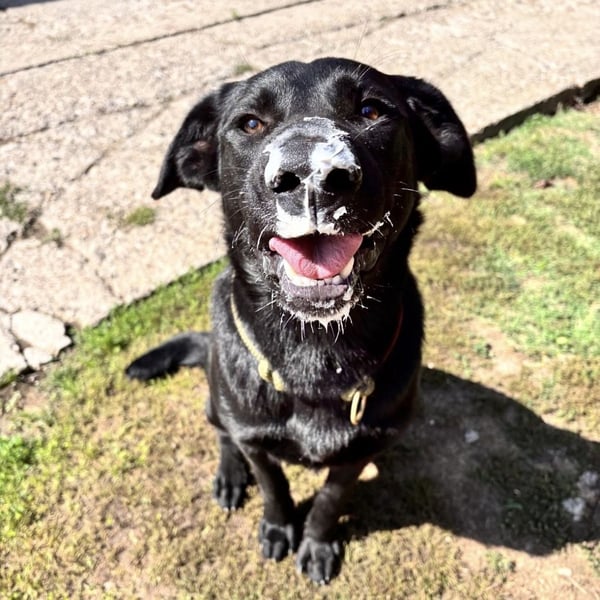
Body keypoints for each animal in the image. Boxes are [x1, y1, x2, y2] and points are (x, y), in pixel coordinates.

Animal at [126, 57, 476, 583]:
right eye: (250, 123)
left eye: (372, 110)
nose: (311, 174)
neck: (314, 350)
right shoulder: (255, 436)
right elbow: (272, 483)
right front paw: (277, 527)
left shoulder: (361, 450)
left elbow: (331, 497)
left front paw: (317, 542)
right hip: (217, 398)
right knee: (222, 433)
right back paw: (229, 477)